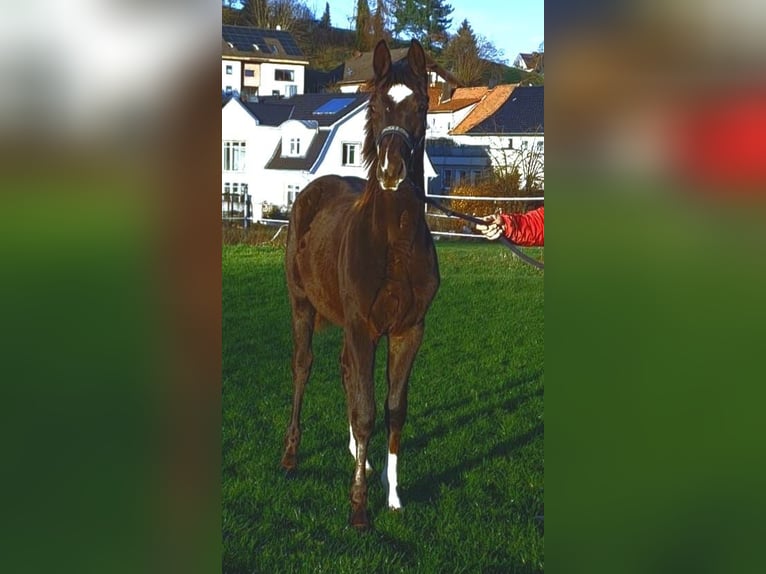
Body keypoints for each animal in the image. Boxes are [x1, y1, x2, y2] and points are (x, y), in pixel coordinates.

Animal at [282, 39, 440, 532]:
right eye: (375, 105)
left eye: (422, 105)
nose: (391, 169)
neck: (393, 244)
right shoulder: (362, 328)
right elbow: (366, 411)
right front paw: (358, 508)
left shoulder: (408, 331)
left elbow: (391, 410)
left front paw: (391, 494)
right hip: (302, 306)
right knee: (304, 367)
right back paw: (290, 456)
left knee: (346, 373)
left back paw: (361, 458)